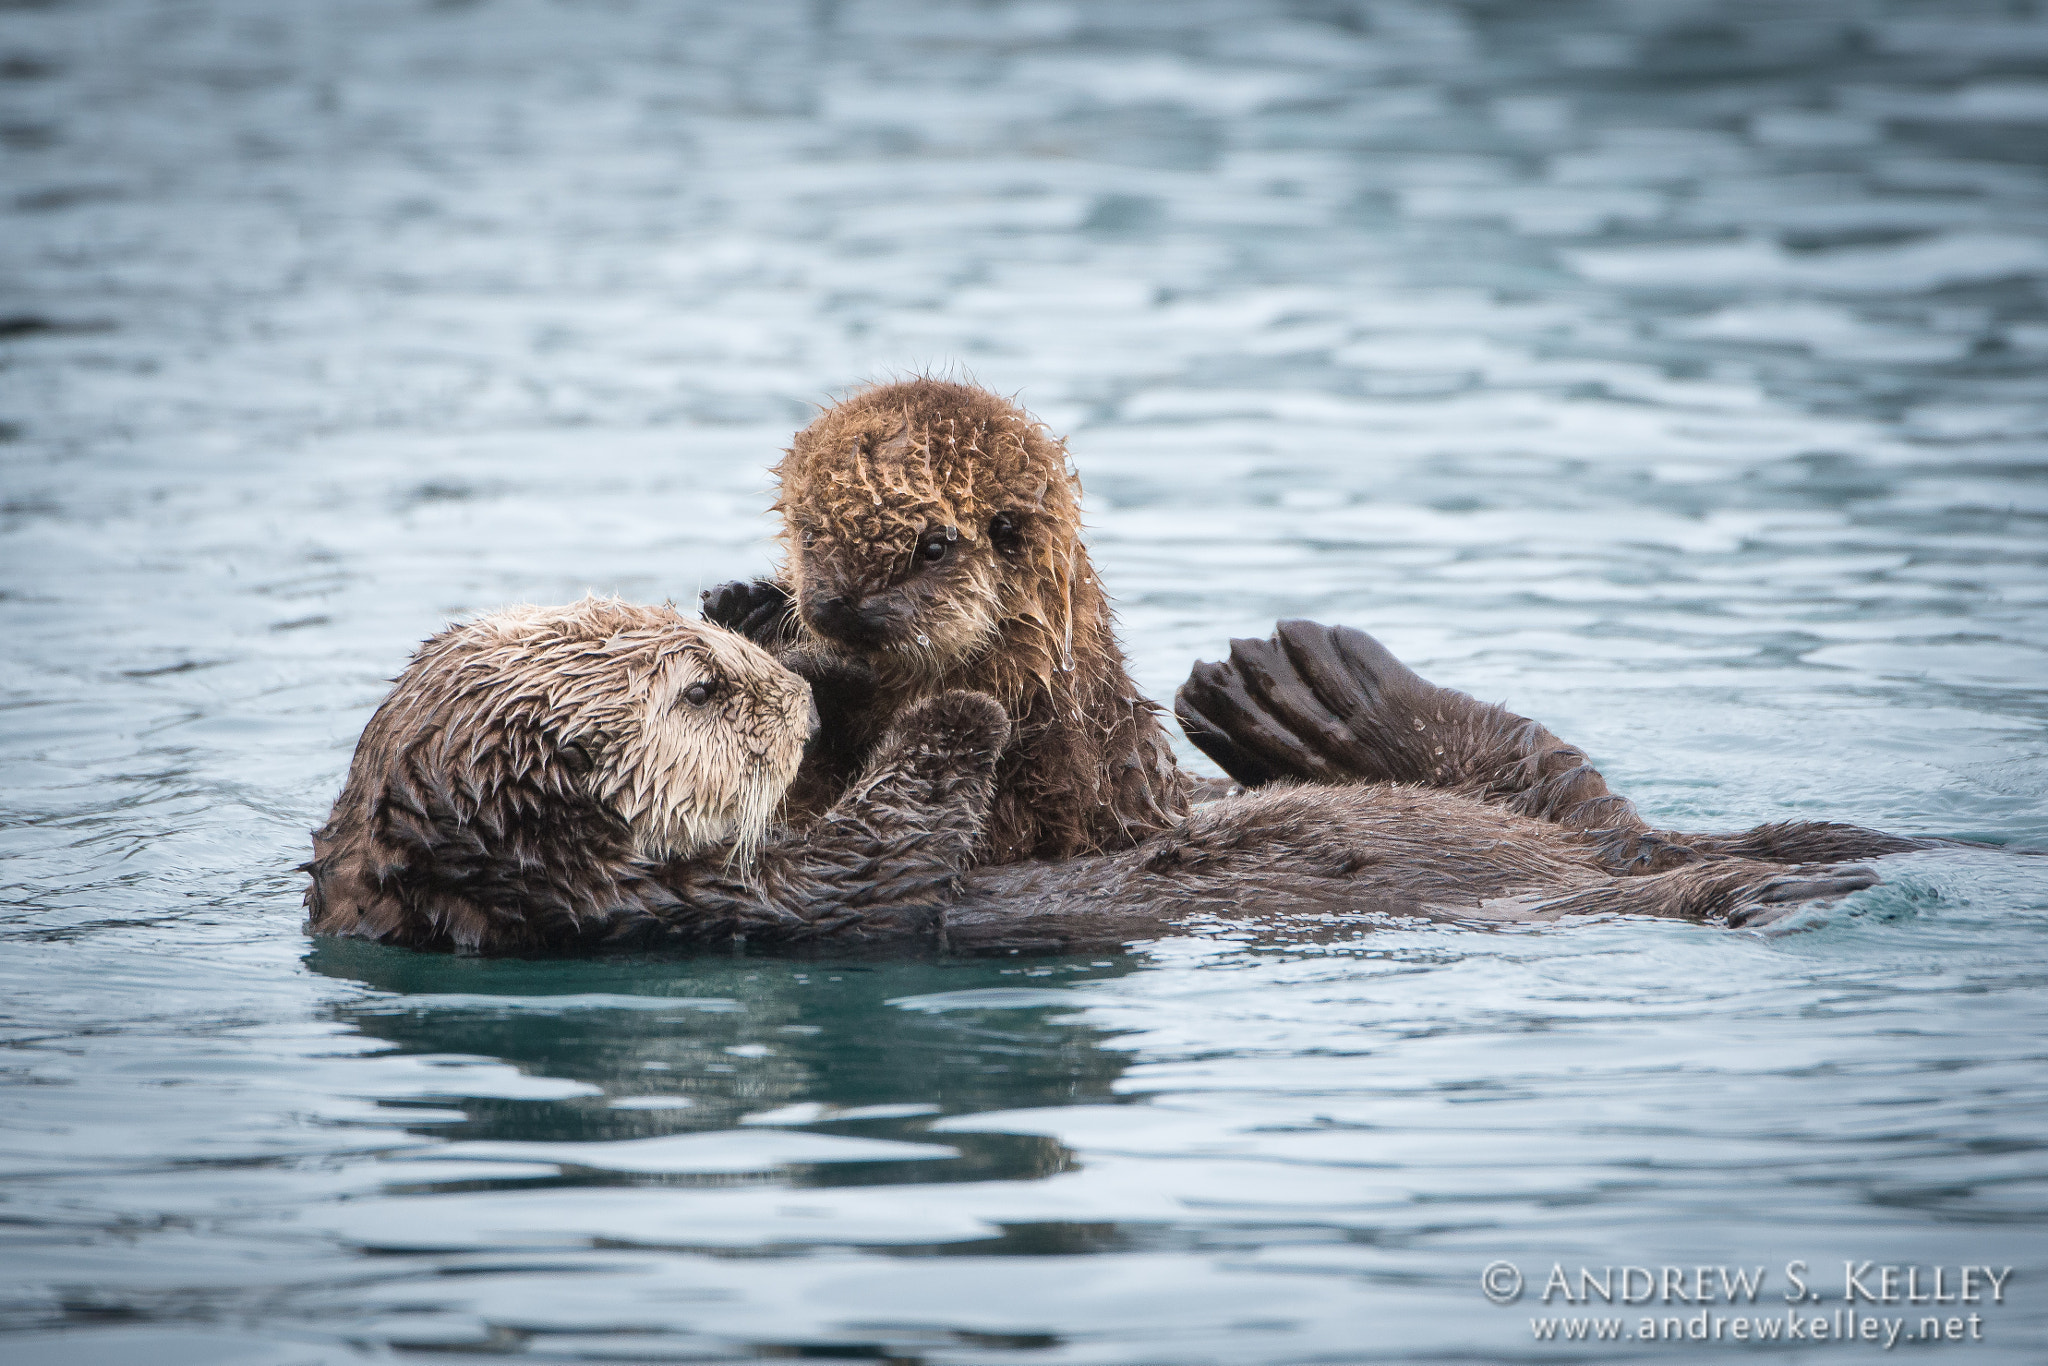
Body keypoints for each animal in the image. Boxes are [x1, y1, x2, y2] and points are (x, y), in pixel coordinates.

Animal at [700, 378, 1187, 860]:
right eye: (809, 533)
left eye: (934, 548)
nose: (836, 606)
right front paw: (743, 605)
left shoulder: (1052, 770)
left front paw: (822, 673)